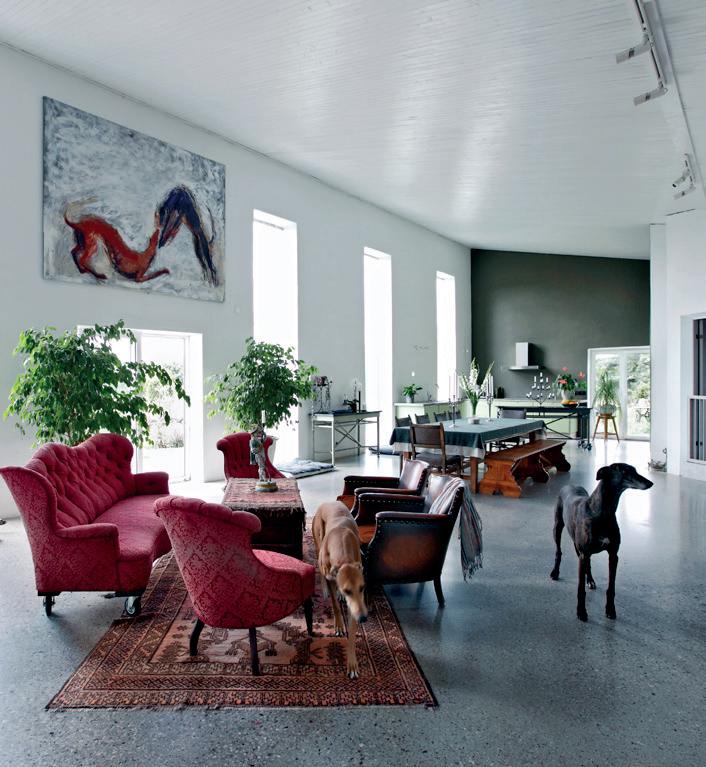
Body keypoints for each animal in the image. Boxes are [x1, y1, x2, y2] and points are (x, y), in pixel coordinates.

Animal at [312, 500, 368, 679]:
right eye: (347, 590)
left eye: (362, 588)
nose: (364, 618)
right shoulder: (331, 576)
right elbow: (336, 606)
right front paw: (339, 626)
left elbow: (352, 631)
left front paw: (352, 664)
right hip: (318, 541)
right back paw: (325, 590)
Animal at [550, 463, 653, 622]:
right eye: (624, 471)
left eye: (634, 470)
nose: (650, 483)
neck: (601, 512)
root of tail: (569, 485)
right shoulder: (584, 553)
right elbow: (580, 589)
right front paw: (581, 611)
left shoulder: (613, 555)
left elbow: (611, 587)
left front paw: (610, 609)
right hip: (558, 527)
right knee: (558, 551)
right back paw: (555, 572)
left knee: (588, 564)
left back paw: (591, 580)